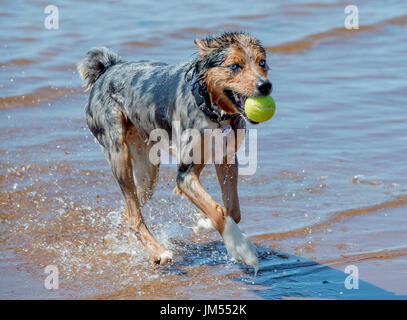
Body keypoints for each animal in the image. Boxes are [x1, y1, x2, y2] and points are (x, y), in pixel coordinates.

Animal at [78, 31, 272, 272]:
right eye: (235, 66)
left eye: (262, 62)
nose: (265, 86)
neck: (211, 110)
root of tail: (107, 69)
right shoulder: (185, 175)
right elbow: (217, 210)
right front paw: (240, 247)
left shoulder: (226, 158)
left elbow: (232, 210)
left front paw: (203, 224)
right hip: (118, 153)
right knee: (134, 215)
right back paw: (159, 252)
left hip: (147, 172)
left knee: (130, 213)